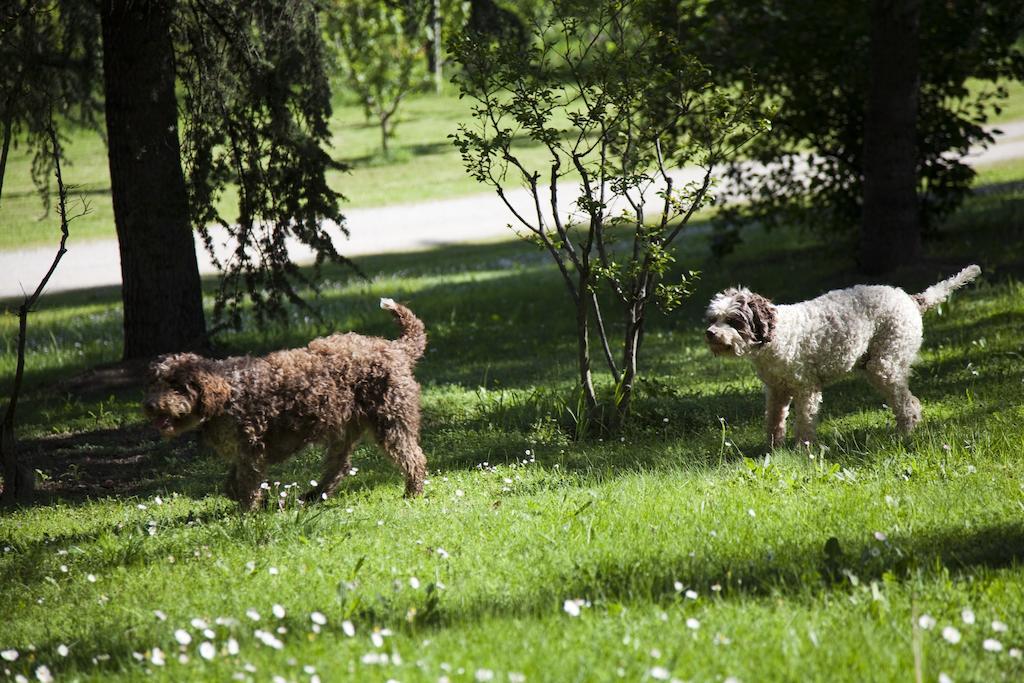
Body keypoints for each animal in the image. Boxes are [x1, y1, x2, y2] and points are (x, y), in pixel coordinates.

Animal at [143, 296, 428, 509]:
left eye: (177, 386)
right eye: (155, 382)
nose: (151, 406)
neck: (227, 392)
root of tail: (396, 348)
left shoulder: (251, 450)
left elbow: (245, 485)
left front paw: (248, 511)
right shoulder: (242, 453)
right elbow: (232, 484)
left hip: (390, 421)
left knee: (414, 458)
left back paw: (412, 492)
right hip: (344, 429)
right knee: (339, 466)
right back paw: (314, 495)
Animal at [708, 266, 978, 448]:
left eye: (734, 320)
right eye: (713, 318)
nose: (710, 333)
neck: (774, 337)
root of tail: (910, 298)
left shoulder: (806, 388)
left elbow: (804, 421)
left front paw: (803, 449)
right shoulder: (776, 391)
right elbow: (774, 421)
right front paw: (773, 450)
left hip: (885, 364)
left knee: (906, 402)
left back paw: (905, 432)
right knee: (910, 400)